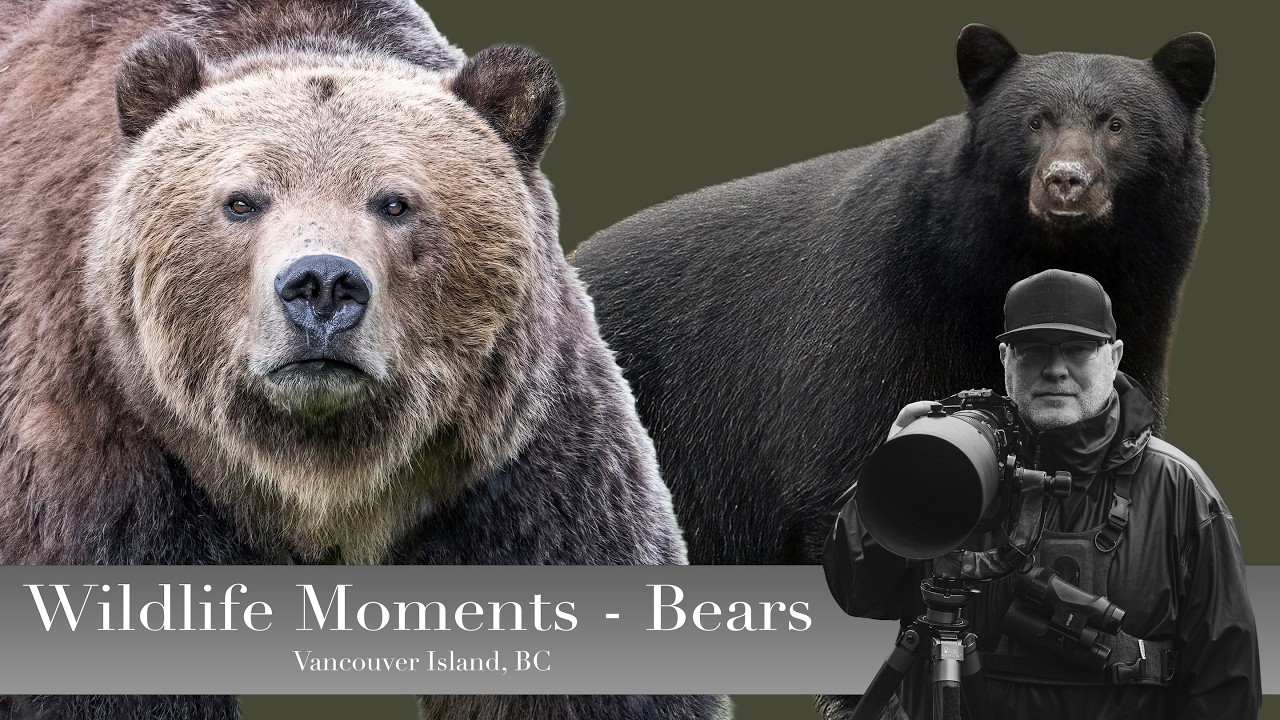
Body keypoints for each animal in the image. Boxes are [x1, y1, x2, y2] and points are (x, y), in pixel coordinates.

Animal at [0, 1, 729, 719]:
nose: (322, 284)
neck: (323, 478)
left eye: (395, 201)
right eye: (241, 200)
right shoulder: (109, 443)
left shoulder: (512, 466)